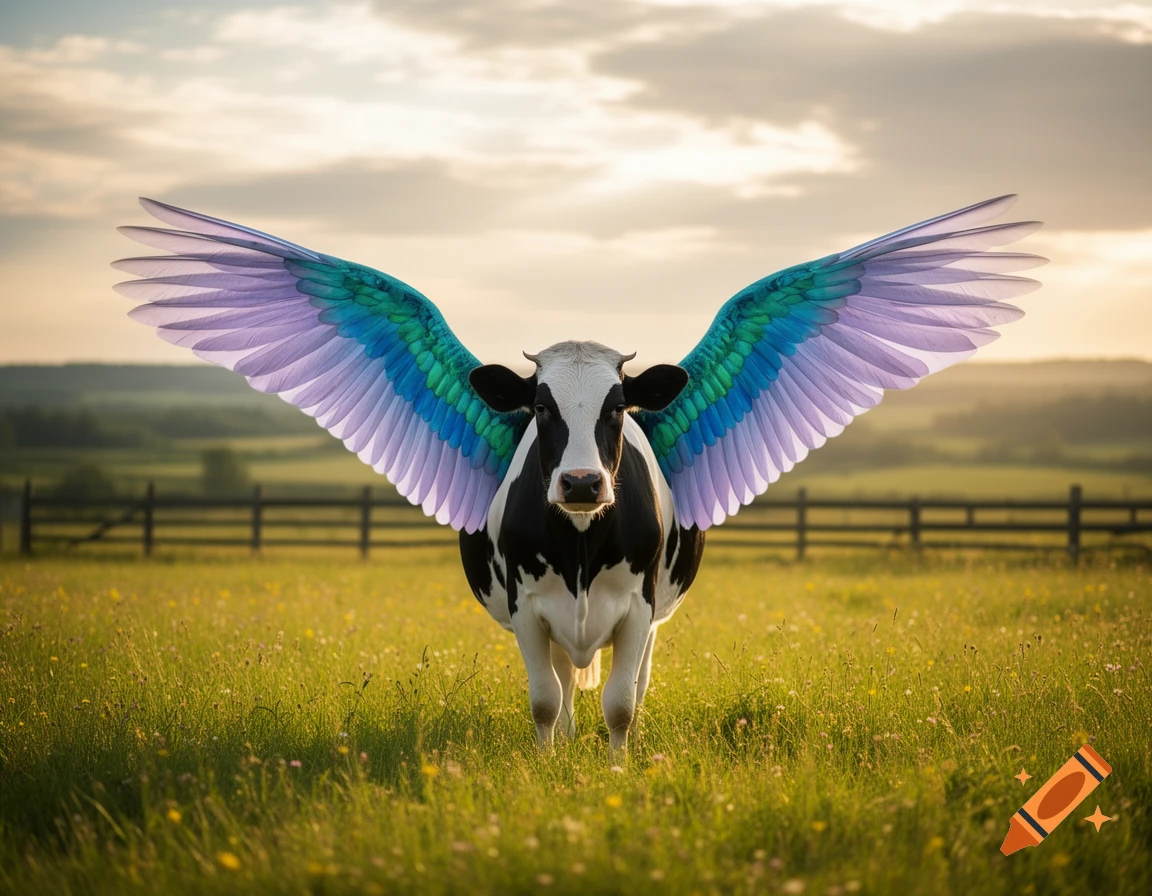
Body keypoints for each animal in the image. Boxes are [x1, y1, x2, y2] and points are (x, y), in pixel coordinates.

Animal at [461, 341, 704, 752]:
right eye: (541, 407)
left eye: (617, 407)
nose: (580, 483)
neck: (580, 545)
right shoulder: (524, 605)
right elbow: (545, 699)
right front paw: (547, 758)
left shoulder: (640, 605)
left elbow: (621, 701)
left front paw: (620, 761)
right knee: (565, 678)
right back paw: (567, 735)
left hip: (656, 615)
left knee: (640, 680)